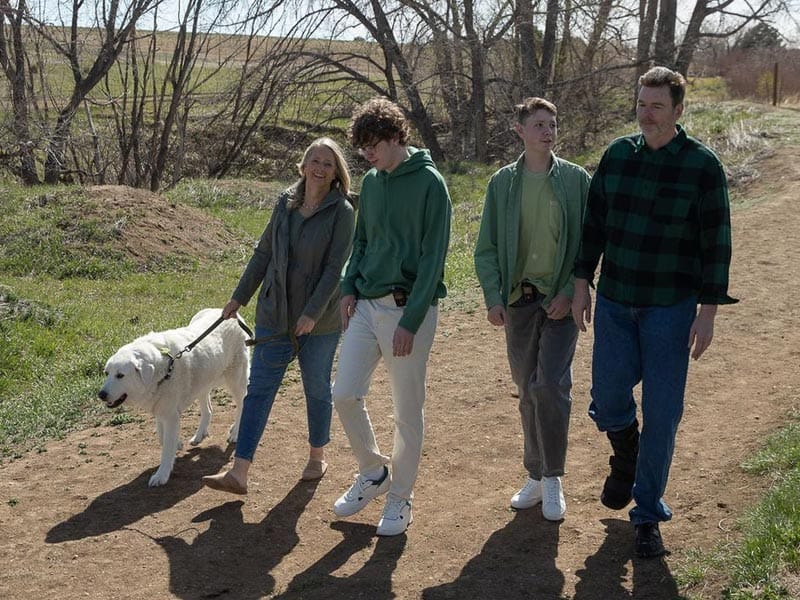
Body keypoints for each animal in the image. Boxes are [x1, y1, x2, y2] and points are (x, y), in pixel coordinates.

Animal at [100, 310, 250, 488]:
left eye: (120, 375)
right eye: (106, 373)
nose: (101, 394)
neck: (163, 369)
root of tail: (233, 315)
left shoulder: (171, 416)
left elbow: (166, 447)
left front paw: (161, 475)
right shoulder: (161, 409)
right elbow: (161, 436)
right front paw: (177, 444)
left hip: (235, 379)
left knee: (242, 404)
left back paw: (235, 433)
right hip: (203, 384)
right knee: (208, 410)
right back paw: (199, 436)